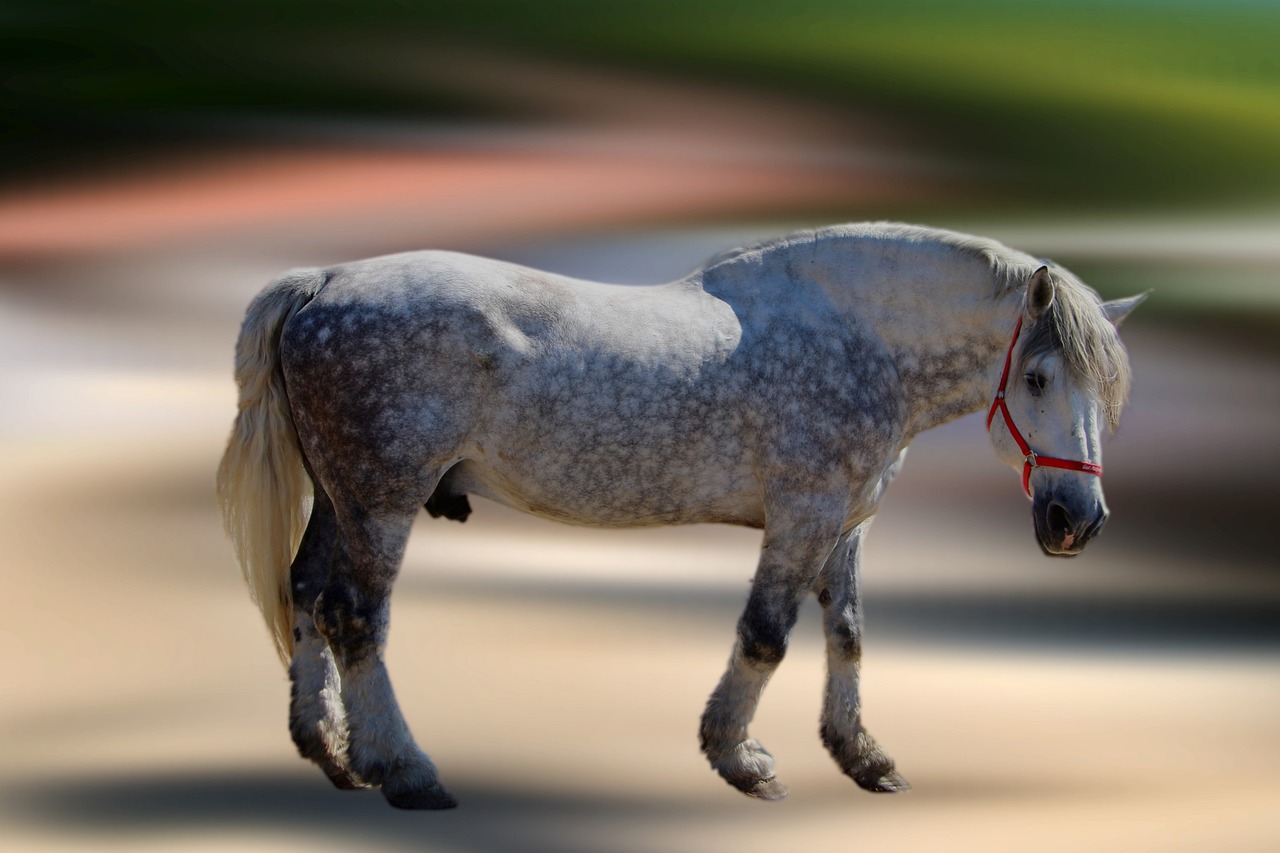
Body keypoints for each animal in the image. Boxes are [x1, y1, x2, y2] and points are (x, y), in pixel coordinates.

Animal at [217, 222, 1144, 809]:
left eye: (1109, 391)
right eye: (1037, 377)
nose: (1077, 519)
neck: (859, 340)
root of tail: (324, 282)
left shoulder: (848, 524)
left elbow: (847, 634)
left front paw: (863, 755)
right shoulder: (804, 514)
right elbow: (766, 636)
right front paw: (739, 758)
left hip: (340, 497)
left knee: (306, 596)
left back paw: (332, 752)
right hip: (382, 499)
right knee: (358, 618)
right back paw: (404, 770)